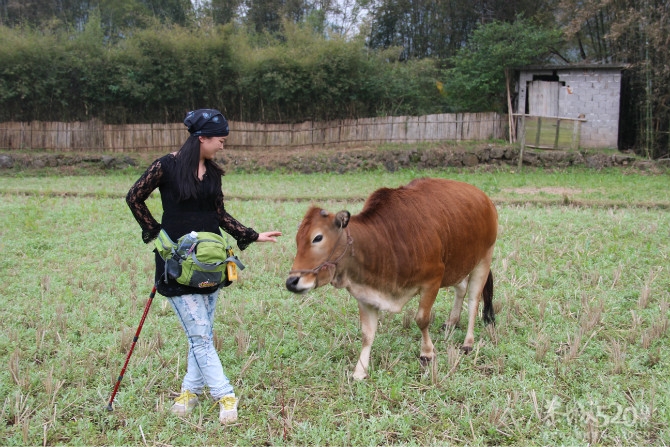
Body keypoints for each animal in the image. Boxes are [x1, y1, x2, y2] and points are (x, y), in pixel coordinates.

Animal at [284, 177, 498, 380]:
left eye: (317, 237)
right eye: (297, 239)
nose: (291, 282)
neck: (385, 242)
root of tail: (485, 198)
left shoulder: (433, 279)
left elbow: (422, 319)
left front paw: (427, 353)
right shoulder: (365, 293)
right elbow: (367, 334)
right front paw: (360, 371)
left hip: (483, 259)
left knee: (473, 301)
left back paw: (468, 342)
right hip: (459, 264)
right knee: (461, 288)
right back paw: (452, 321)